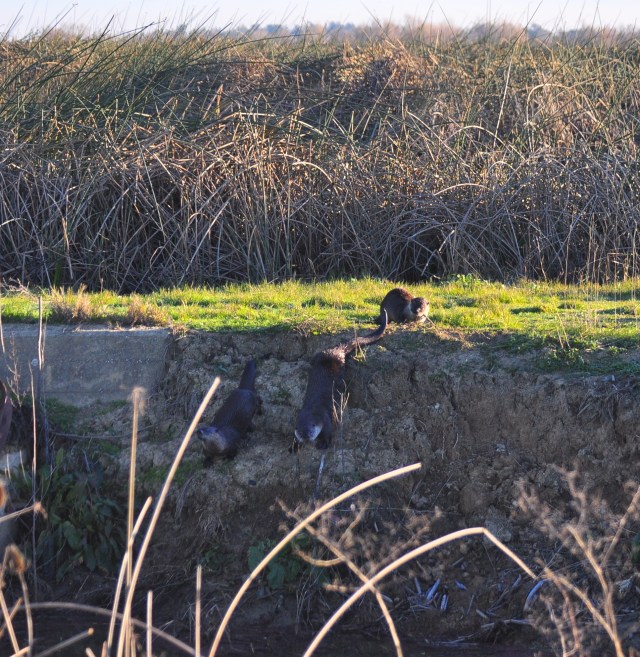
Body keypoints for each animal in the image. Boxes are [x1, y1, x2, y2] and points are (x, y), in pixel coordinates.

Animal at [294, 311, 387, 450]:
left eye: (310, 430)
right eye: (300, 432)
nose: (306, 437)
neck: (312, 409)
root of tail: (336, 350)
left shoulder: (325, 417)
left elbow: (328, 431)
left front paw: (323, 443)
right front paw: (294, 445)